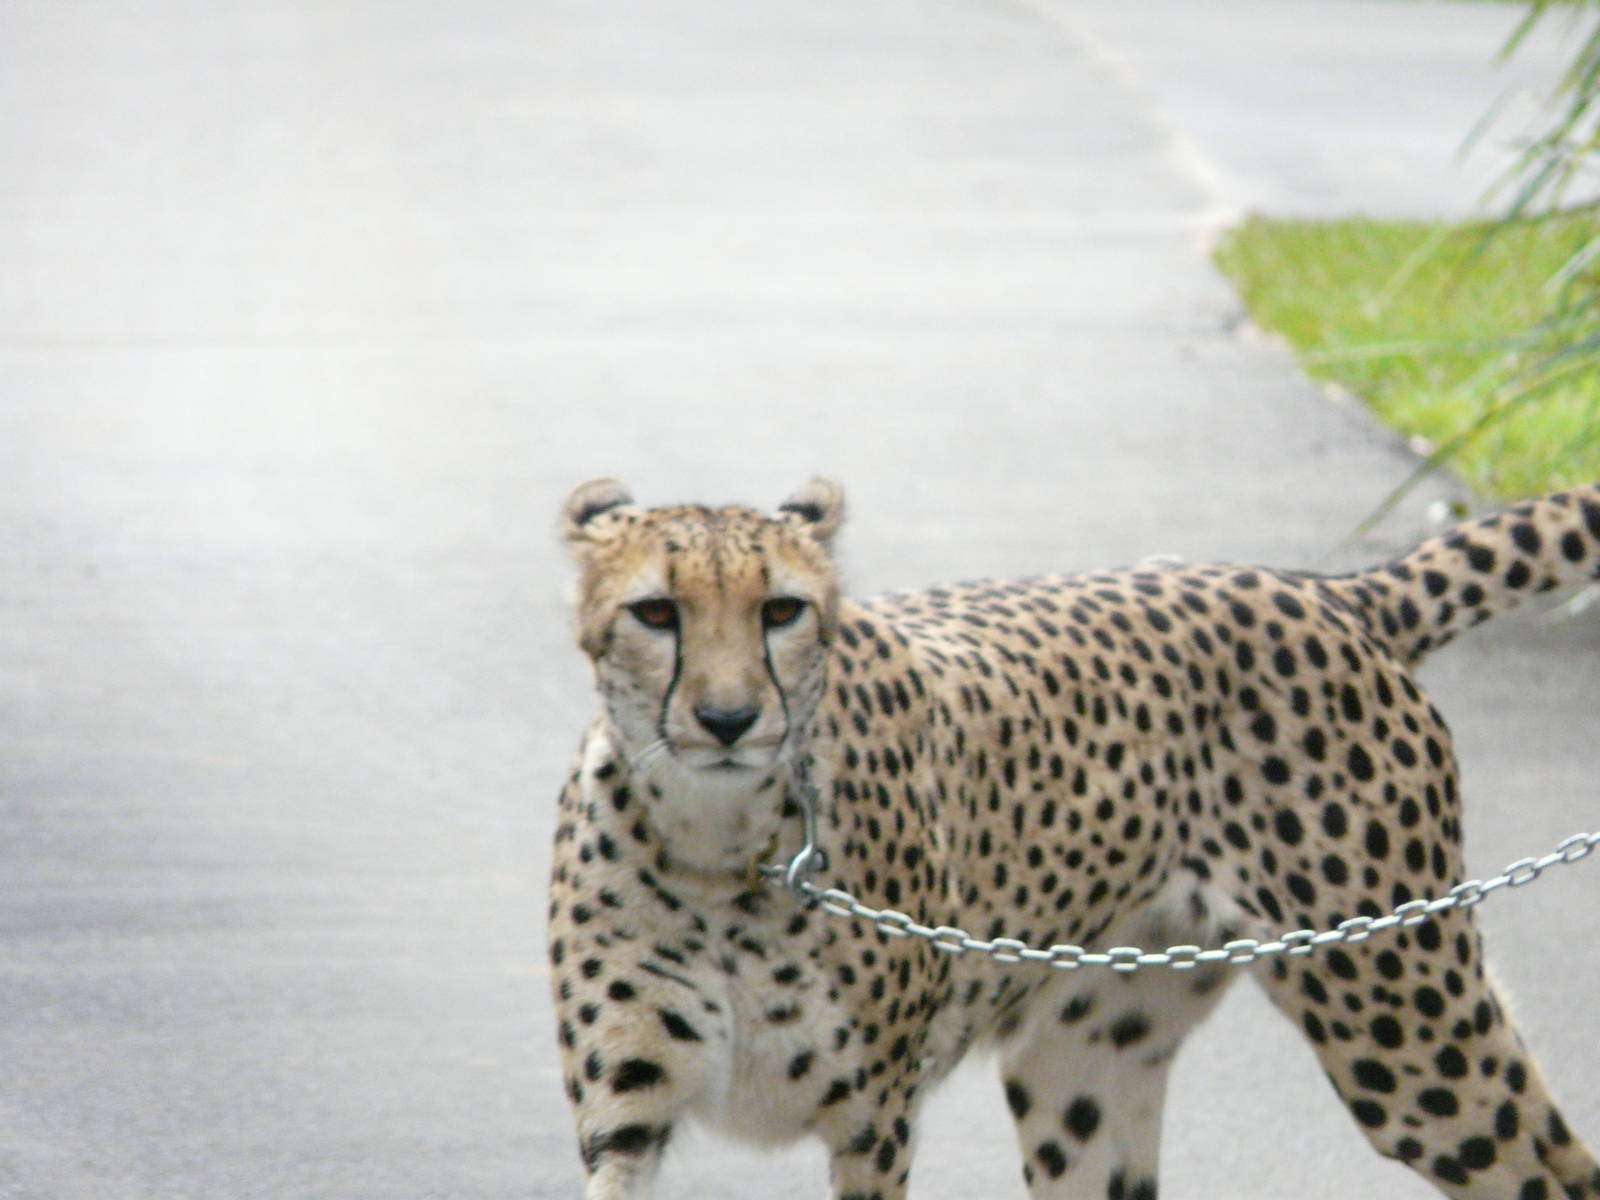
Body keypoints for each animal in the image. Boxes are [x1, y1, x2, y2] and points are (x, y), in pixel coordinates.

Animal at [546, 474, 1600, 1200]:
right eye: (656, 612)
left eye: (781, 610)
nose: (727, 720)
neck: (719, 851)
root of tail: (1329, 591)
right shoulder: (626, 1117)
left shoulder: (874, 1123)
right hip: (1085, 1062)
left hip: (1403, 1027)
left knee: (1550, 1168)